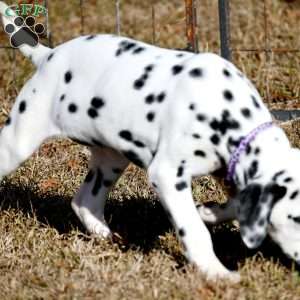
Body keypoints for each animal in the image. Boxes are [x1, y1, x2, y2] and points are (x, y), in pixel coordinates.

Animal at [0, 1, 300, 282]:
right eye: (296, 219)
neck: (226, 113)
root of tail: (47, 56)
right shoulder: (168, 174)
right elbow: (194, 229)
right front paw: (215, 271)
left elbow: (232, 205)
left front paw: (209, 211)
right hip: (19, 141)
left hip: (111, 160)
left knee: (84, 201)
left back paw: (107, 237)